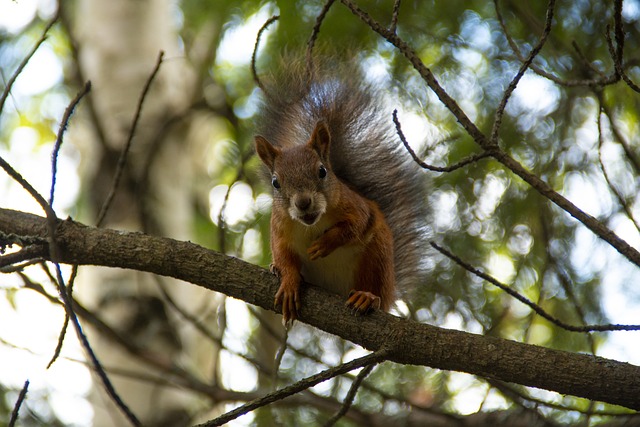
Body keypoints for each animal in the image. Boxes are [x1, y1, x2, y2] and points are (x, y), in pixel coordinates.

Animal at [254, 59, 428, 324]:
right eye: (276, 183)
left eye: (322, 171)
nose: (303, 203)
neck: (311, 225)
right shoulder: (280, 228)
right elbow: (284, 256)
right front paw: (289, 281)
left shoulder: (355, 206)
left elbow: (354, 226)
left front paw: (325, 243)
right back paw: (276, 270)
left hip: (376, 257)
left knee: (375, 289)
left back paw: (367, 297)